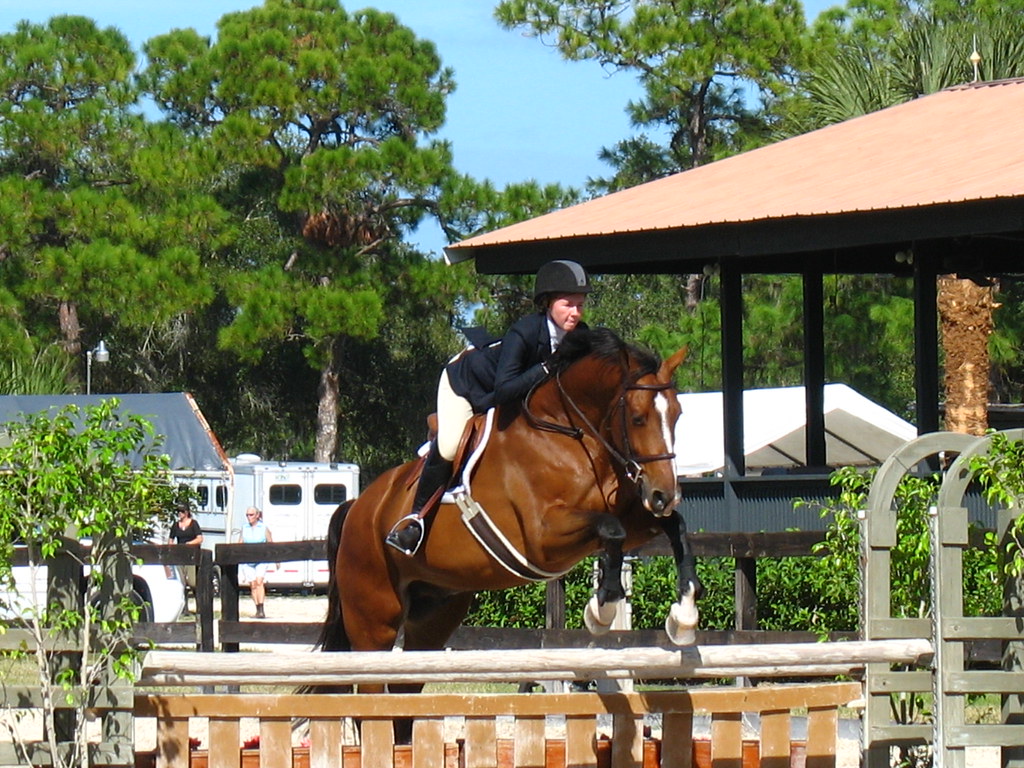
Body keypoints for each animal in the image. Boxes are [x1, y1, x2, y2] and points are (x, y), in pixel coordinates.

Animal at [319, 327, 701, 677]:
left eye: (678, 414)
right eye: (638, 418)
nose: (665, 495)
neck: (570, 433)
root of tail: (357, 507)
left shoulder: (629, 517)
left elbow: (673, 527)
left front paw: (684, 618)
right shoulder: (543, 539)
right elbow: (612, 529)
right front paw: (601, 610)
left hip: (433, 614)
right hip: (374, 619)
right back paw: (406, 533)